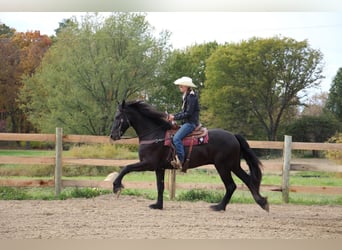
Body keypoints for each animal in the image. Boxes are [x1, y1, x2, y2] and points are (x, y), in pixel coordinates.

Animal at [111, 99, 268, 211]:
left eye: (118, 117)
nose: (112, 135)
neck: (155, 135)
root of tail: (233, 136)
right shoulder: (159, 168)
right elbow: (160, 186)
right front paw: (158, 205)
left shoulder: (148, 163)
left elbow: (126, 168)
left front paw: (116, 186)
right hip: (233, 165)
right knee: (247, 180)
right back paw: (262, 202)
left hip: (223, 166)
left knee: (231, 185)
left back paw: (219, 207)